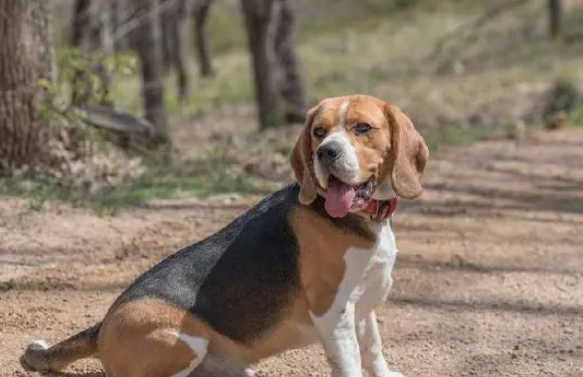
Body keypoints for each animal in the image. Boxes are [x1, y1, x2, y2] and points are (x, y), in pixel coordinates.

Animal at [21, 94, 428, 376]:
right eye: (319, 132)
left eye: (363, 128)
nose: (326, 153)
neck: (362, 217)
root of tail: (102, 324)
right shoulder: (334, 311)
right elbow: (350, 361)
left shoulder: (362, 303)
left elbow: (372, 348)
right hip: (182, 341)